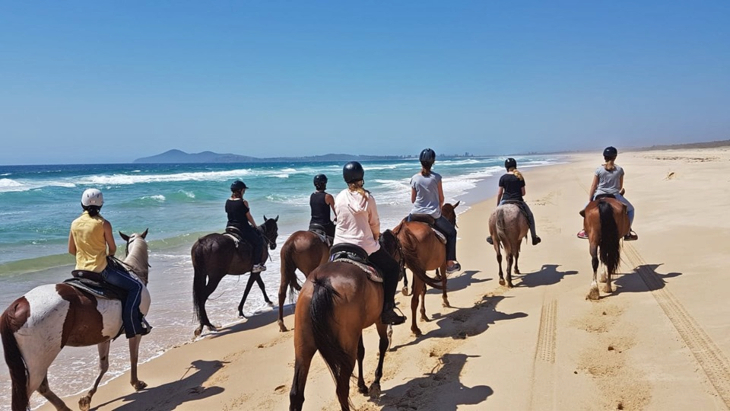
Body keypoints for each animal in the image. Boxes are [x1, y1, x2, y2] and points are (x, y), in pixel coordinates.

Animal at [0, 230, 151, 411]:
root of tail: (17, 306)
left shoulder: (104, 336)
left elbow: (104, 366)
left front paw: (87, 398)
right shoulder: (136, 331)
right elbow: (134, 357)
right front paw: (136, 383)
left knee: (41, 388)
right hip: (38, 361)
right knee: (32, 390)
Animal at [288, 230, 404, 410]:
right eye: (399, 248)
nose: (400, 273)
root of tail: (321, 283)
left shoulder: (357, 329)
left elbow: (361, 352)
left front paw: (362, 385)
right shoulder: (380, 320)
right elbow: (383, 345)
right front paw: (375, 382)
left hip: (303, 348)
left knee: (296, 394)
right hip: (345, 346)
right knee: (341, 389)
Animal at [392, 201, 456, 336]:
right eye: (454, 217)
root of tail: (403, 229)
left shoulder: (419, 271)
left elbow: (424, 290)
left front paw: (423, 314)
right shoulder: (442, 264)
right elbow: (443, 280)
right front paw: (445, 301)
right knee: (414, 300)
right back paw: (415, 328)